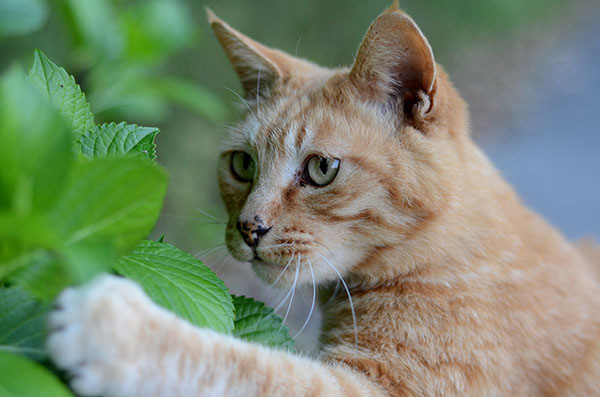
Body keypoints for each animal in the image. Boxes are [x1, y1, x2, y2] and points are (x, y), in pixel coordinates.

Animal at [45, 3, 600, 396]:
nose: (249, 227)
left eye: (321, 169)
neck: (444, 248)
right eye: (242, 165)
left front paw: (120, 333)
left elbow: (257, 372)